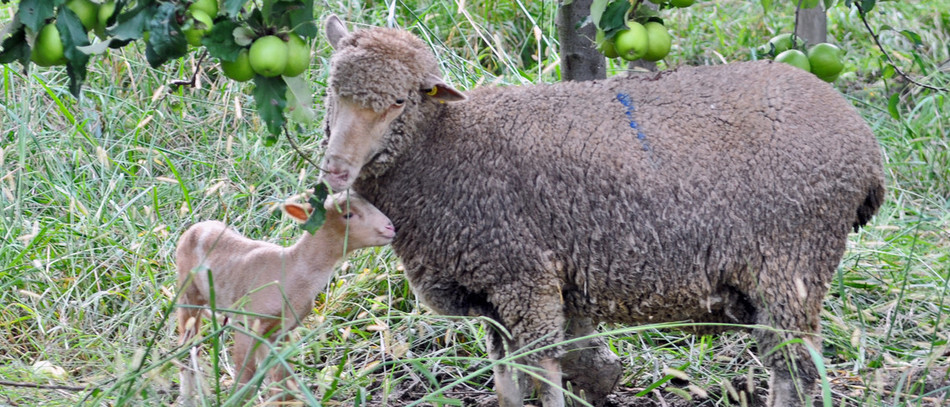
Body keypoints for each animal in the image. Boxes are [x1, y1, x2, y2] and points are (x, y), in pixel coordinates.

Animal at [175, 191, 394, 404]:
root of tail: (197, 226)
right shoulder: (247, 323)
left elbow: (283, 383)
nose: (390, 227)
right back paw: (188, 397)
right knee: (188, 348)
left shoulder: (283, 331)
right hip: (188, 292)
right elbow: (245, 380)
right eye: (348, 215)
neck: (293, 267)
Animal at [320, 14, 884, 406]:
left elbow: (544, 370)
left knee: (797, 368)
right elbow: (506, 378)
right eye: (332, 89)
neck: (443, 145)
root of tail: (868, 147)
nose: (334, 169)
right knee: (789, 363)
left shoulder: (525, 278)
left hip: (794, 262)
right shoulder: (489, 292)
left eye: (399, 102)